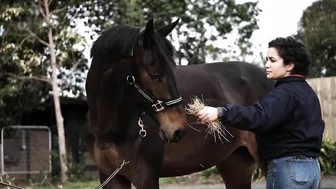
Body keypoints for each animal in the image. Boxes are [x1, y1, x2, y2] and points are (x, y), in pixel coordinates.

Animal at [82, 18, 274, 188]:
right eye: (155, 76)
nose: (178, 129)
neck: (110, 130)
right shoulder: (111, 177)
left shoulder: (145, 176)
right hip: (235, 163)